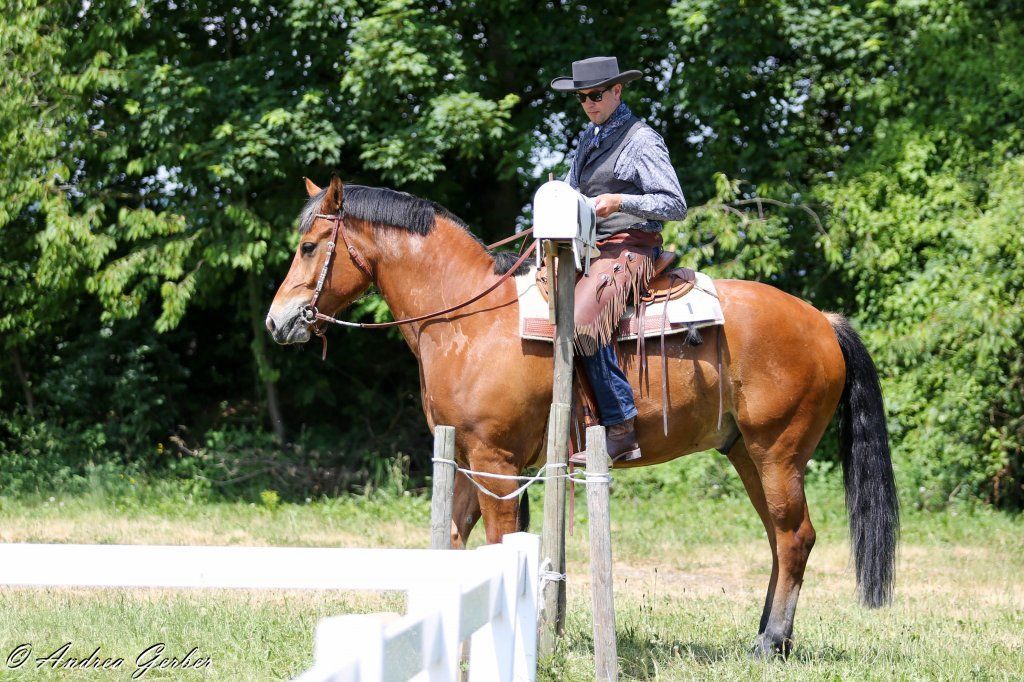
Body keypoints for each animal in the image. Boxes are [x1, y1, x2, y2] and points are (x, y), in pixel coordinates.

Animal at [265, 176, 899, 657]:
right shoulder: (468, 455)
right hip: (746, 452)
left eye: (309, 246)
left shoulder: (496, 462)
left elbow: (499, 546)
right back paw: (770, 636)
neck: (470, 319)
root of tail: (823, 321)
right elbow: (455, 541)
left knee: (795, 537)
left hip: (777, 451)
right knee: (777, 538)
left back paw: (770, 642)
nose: (278, 321)